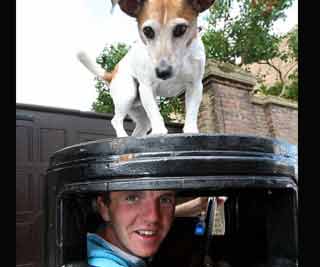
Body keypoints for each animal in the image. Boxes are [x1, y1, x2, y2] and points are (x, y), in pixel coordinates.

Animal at [77, 0, 215, 137]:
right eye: (148, 31)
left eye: (181, 29)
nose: (162, 72)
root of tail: (112, 74)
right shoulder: (147, 87)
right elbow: (155, 113)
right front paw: (159, 131)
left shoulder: (195, 86)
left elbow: (192, 112)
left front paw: (191, 131)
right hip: (128, 94)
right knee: (116, 120)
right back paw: (122, 136)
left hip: (139, 111)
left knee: (140, 128)